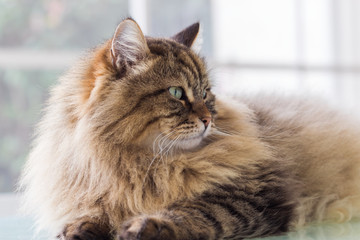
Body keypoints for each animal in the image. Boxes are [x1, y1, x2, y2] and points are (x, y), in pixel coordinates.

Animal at [20, 17, 360, 240]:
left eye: (206, 93)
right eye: (176, 93)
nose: (208, 119)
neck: (141, 164)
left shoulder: (256, 193)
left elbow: (194, 212)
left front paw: (145, 226)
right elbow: (94, 211)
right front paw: (80, 229)